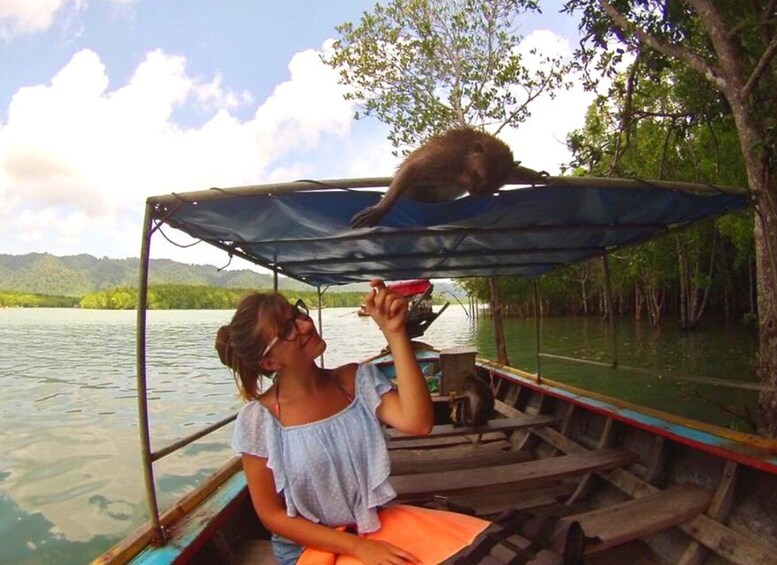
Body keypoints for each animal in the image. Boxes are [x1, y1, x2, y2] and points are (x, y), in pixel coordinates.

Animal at [352, 126, 516, 228]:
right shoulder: (448, 157)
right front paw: (381, 209)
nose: (476, 190)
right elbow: (412, 169)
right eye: (478, 175)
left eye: (487, 187)